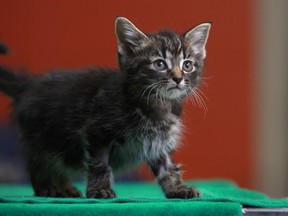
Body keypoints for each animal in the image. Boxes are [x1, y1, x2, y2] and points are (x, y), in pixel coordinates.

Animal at [0, 17, 212, 199]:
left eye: (187, 65)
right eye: (159, 64)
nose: (178, 78)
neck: (154, 106)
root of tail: (28, 85)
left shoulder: (159, 140)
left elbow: (167, 167)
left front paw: (177, 188)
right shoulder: (97, 130)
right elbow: (100, 163)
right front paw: (100, 190)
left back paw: (64, 187)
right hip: (44, 138)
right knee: (39, 163)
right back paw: (48, 187)